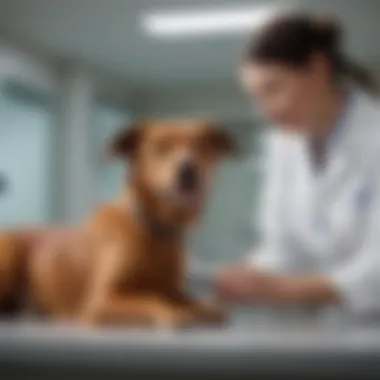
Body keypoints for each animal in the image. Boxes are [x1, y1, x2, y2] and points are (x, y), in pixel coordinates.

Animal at [0, 119, 236, 326]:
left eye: (201, 145)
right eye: (160, 147)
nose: (188, 169)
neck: (154, 230)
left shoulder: (171, 288)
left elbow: (185, 298)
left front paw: (201, 307)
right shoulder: (100, 302)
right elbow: (152, 299)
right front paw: (175, 312)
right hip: (10, 250)